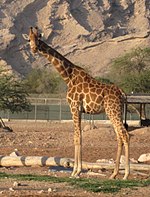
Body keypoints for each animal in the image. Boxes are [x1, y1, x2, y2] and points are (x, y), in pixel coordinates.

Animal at [22, 26, 129, 179]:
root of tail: (122, 92)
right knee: (119, 136)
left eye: (38, 38)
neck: (68, 77)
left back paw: (126, 175)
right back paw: (114, 174)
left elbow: (76, 137)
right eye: (28, 39)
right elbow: (80, 137)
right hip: (114, 112)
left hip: (113, 111)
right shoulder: (79, 110)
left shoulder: (74, 107)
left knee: (125, 135)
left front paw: (75, 172)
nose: (34, 49)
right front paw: (77, 171)